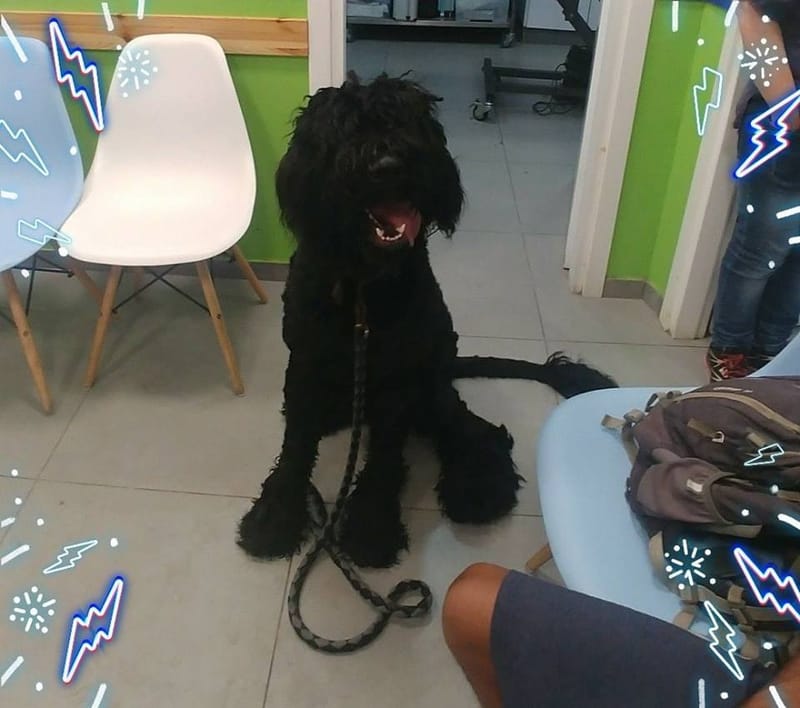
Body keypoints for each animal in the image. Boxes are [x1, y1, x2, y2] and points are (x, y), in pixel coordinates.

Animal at [237, 74, 616, 569]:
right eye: (344, 128)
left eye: (407, 122)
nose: (387, 164)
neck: (364, 289)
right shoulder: (305, 364)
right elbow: (296, 446)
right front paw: (274, 517)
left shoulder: (399, 380)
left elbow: (384, 456)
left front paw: (371, 527)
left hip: (432, 382)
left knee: (474, 430)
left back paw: (479, 486)